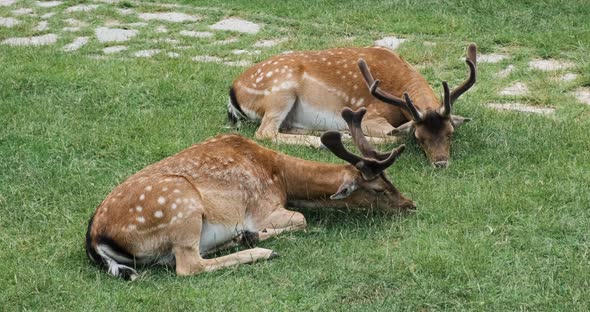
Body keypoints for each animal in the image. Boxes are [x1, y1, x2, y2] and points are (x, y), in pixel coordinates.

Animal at [85, 108, 416, 280]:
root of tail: (94, 237)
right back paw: (261, 249)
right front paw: (256, 235)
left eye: (390, 179)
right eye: (378, 189)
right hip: (181, 206)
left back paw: (237, 240)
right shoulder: (263, 208)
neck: (281, 177)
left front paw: (248, 235)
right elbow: (302, 218)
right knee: (187, 266)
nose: (409, 204)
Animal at [229, 43, 478, 168]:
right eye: (420, 137)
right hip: (280, 91)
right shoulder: (370, 114)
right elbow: (395, 136)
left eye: (450, 132)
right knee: (265, 132)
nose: (441, 163)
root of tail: (234, 91)